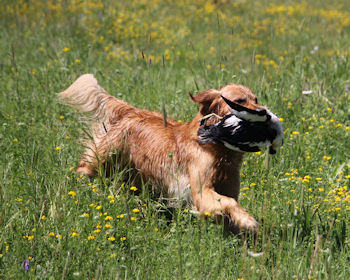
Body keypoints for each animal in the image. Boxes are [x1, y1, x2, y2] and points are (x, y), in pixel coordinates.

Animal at [58, 74, 274, 232]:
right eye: (239, 101)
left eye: (256, 99)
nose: (264, 112)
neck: (216, 148)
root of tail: (130, 111)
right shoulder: (201, 192)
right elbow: (228, 203)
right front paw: (249, 221)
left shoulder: (227, 189)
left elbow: (231, 205)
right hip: (104, 160)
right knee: (85, 167)